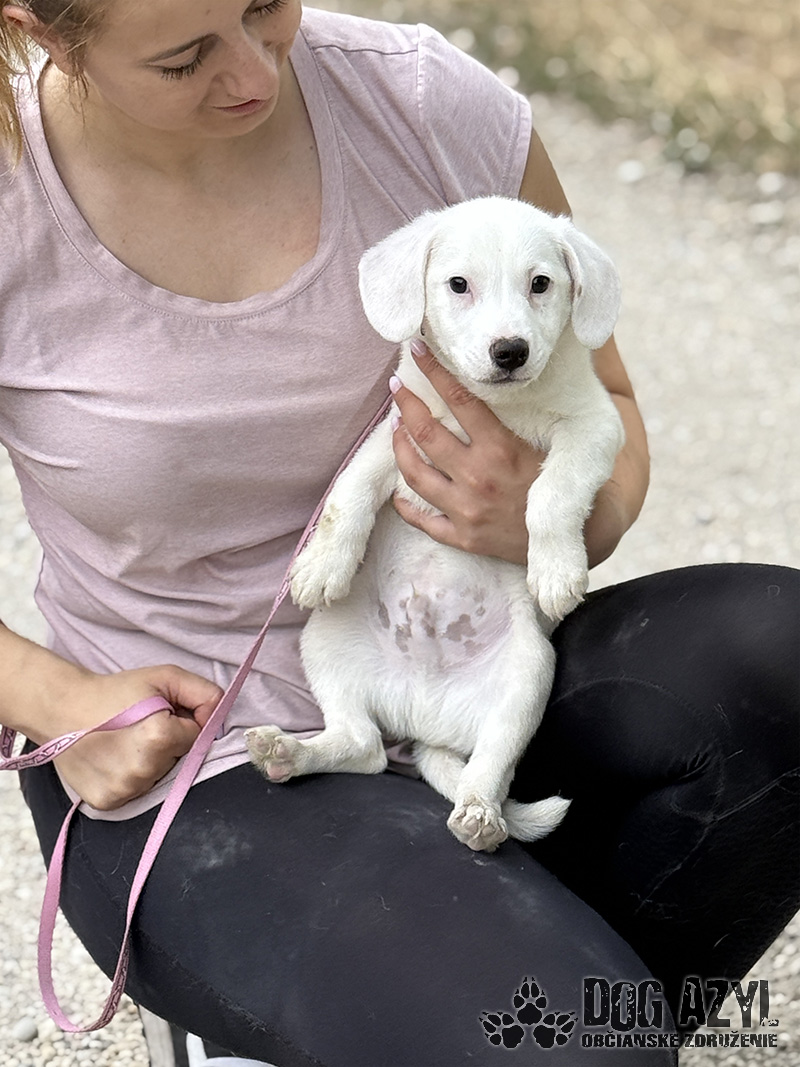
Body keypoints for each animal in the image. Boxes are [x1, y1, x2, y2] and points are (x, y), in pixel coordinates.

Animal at [245, 197, 624, 852]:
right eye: (458, 285)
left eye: (541, 284)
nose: (510, 351)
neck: (495, 406)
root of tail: (424, 717)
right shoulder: (393, 437)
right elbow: (349, 494)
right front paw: (323, 563)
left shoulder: (595, 427)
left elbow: (550, 493)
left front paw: (555, 569)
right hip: (324, 643)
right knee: (364, 746)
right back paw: (289, 752)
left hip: (527, 680)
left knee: (488, 764)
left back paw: (480, 815)